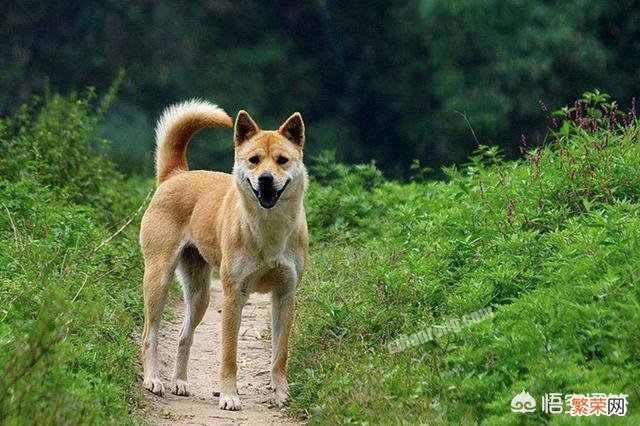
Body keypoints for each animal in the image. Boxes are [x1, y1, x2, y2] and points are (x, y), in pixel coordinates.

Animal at [139, 99, 308, 410]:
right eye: (254, 160)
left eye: (282, 160)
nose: (266, 180)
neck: (268, 229)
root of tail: (176, 174)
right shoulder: (233, 295)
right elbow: (229, 354)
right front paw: (229, 395)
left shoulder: (285, 295)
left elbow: (279, 355)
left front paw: (282, 394)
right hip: (159, 280)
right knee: (149, 334)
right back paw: (153, 379)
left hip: (200, 295)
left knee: (183, 337)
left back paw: (180, 382)